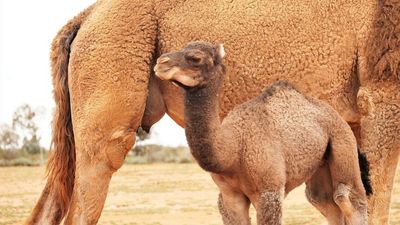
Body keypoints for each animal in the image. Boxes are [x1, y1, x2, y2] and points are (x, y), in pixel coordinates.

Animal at [155, 41, 370, 224]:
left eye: (196, 58)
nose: (160, 63)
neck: (232, 149)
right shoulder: (230, 196)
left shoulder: (269, 191)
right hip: (321, 163)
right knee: (322, 200)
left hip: (343, 142)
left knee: (348, 196)